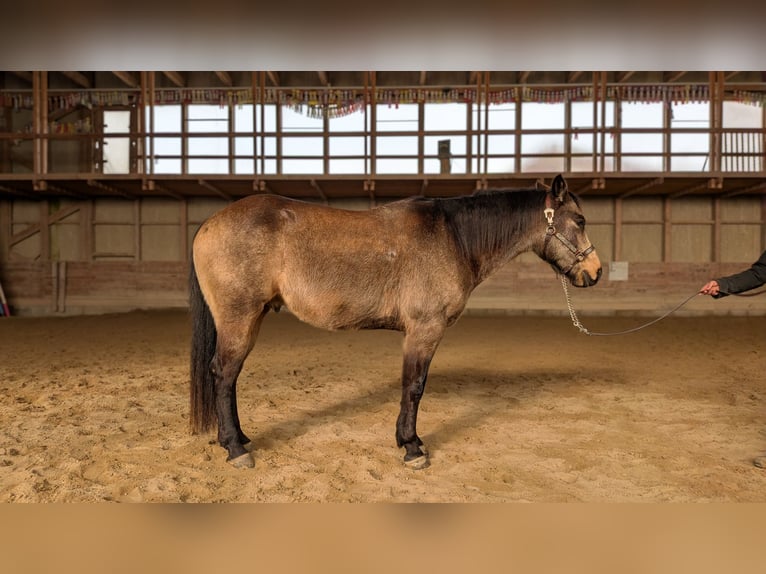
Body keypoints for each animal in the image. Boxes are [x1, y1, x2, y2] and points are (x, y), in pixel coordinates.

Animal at [188, 174, 602, 470]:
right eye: (579, 220)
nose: (595, 272)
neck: (453, 236)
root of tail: (209, 224)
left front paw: (407, 441)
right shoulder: (424, 330)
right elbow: (414, 386)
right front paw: (413, 448)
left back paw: (240, 439)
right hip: (240, 318)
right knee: (224, 375)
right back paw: (236, 449)